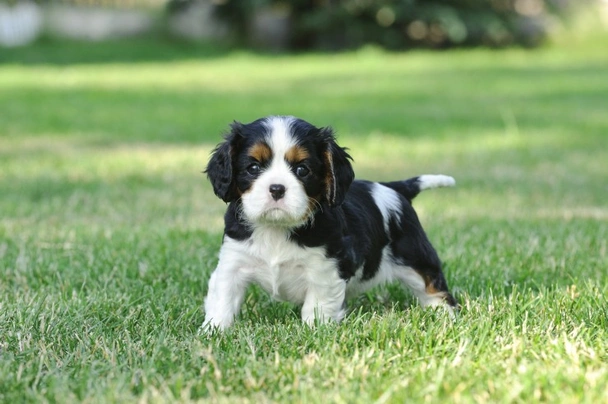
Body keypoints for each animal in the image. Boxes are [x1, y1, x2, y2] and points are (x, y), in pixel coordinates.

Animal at [203, 115, 456, 330]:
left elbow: (316, 305)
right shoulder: (233, 262)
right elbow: (223, 298)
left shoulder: (324, 269)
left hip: (415, 256)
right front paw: (214, 331)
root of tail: (394, 187)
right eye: (253, 167)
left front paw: (314, 331)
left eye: (302, 170)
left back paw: (443, 315)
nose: (276, 188)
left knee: (433, 287)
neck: (277, 228)